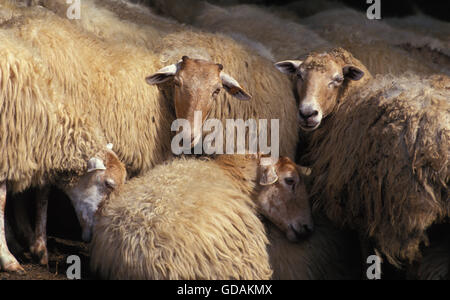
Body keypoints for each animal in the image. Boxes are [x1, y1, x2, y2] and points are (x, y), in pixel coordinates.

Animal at [0, 29, 126, 272]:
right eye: (108, 184)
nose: (100, 237)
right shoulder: (6, 153)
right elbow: (2, 202)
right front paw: (8, 259)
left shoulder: (22, 154)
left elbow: (41, 194)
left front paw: (38, 247)